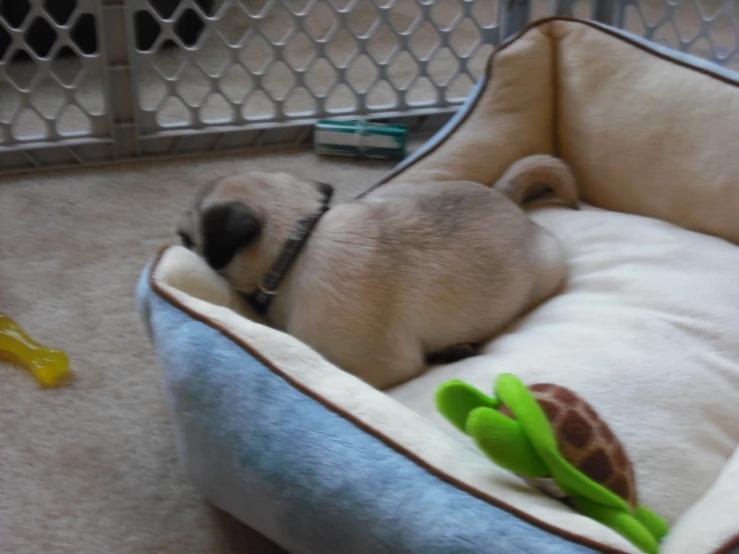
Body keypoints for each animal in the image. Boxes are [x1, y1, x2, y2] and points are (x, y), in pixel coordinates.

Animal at [178, 154, 580, 388]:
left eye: (187, 237)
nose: (176, 234)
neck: (296, 247)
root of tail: (504, 195)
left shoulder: (375, 368)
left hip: (546, 272)